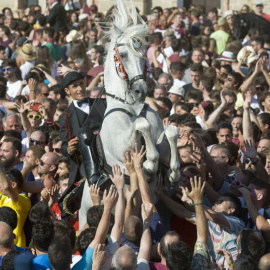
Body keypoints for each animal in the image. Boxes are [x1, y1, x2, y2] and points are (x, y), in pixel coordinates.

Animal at [78, 0, 179, 228]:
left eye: (144, 55)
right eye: (123, 55)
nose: (141, 90)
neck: (132, 107)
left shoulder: (161, 137)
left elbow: (170, 131)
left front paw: (172, 172)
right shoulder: (122, 146)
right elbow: (142, 125)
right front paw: (149, 164)